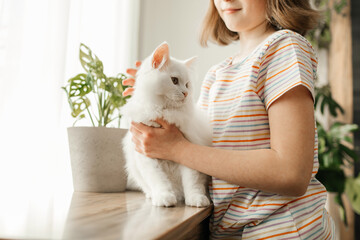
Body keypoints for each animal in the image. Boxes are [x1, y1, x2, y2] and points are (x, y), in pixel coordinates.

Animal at [121, 42, 211, 207]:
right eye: (174, 80)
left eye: (187, 85)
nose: (185, 93)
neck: (164, 111)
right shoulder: (147, 158)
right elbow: (158, 180)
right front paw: (164, 197)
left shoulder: (188, 152)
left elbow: (192, 182)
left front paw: (196, 199)